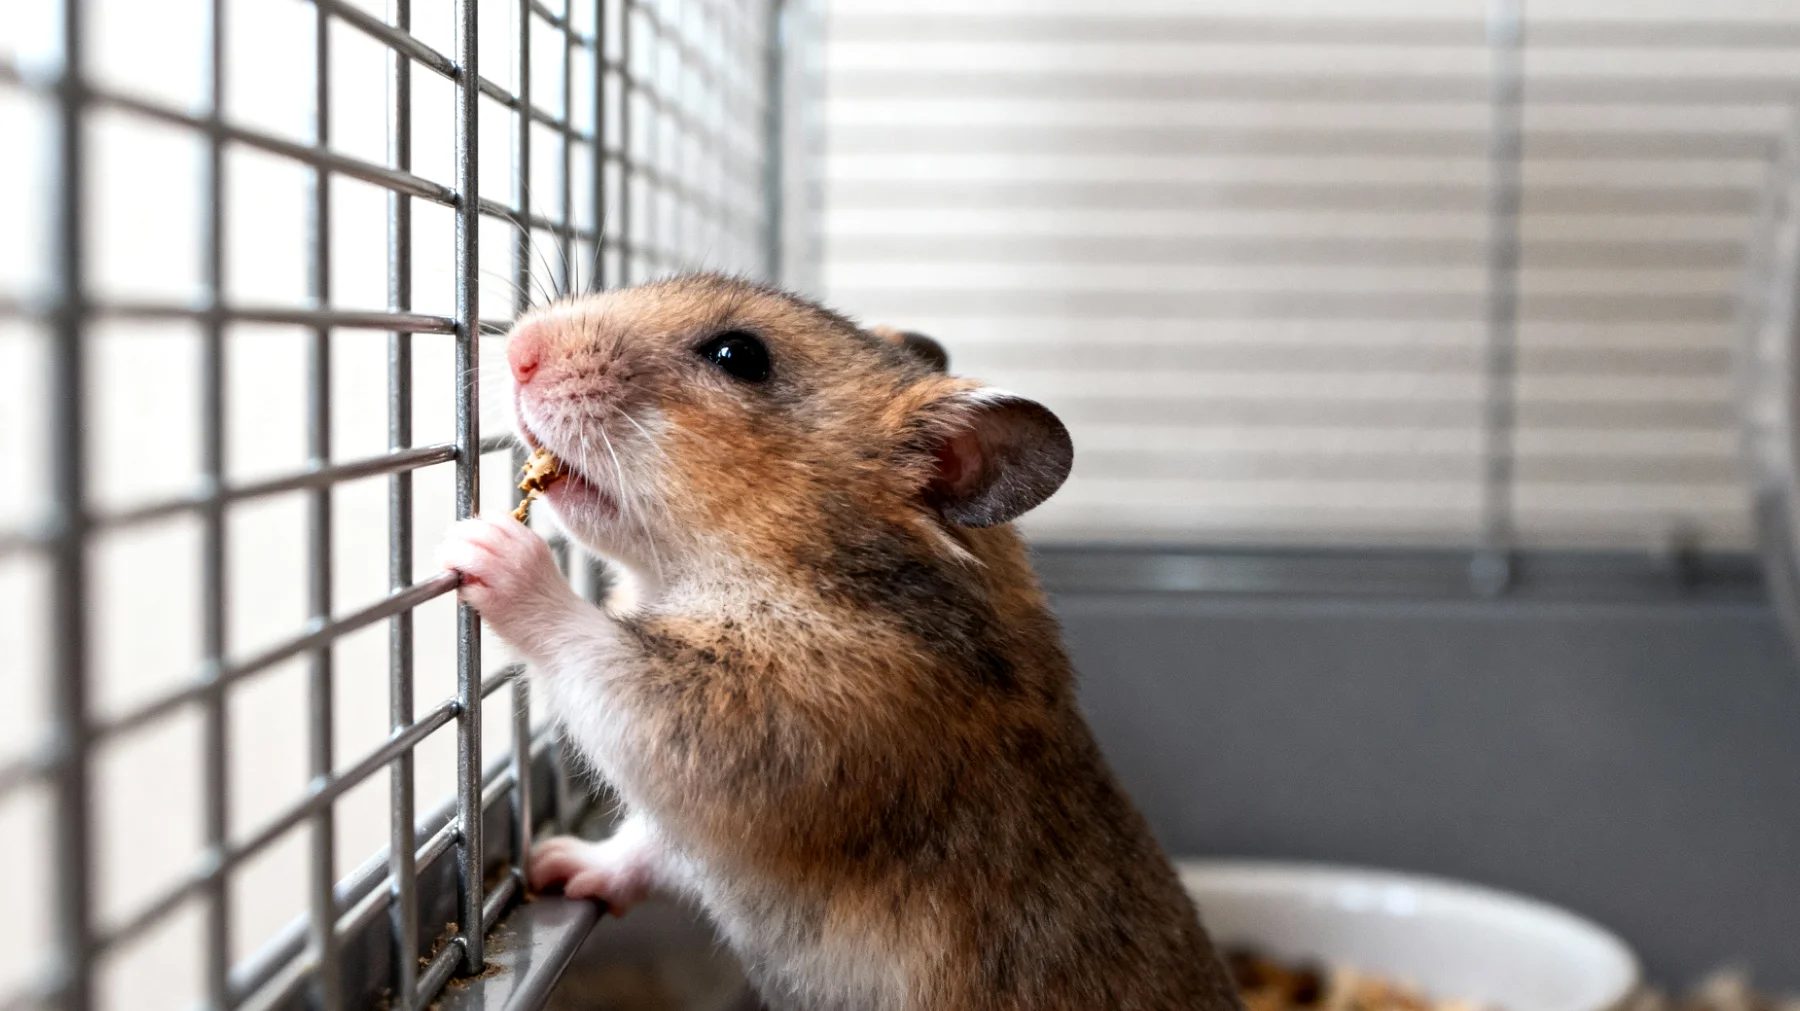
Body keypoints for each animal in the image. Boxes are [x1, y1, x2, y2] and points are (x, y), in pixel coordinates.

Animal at [436, 274, 1242, 1011]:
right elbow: (643, 843)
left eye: (738, 355)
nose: (519, 350)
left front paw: (481, 543)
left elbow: (595, 655)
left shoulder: (761, 721)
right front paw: (553, 865)